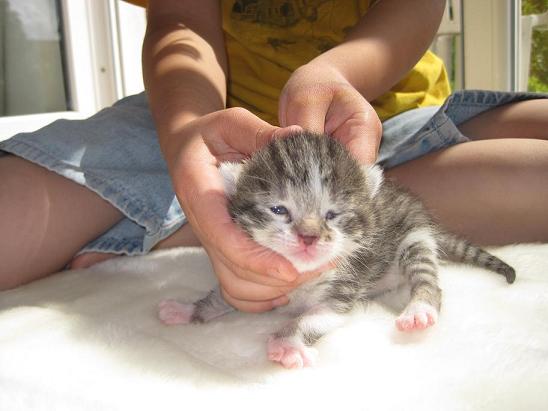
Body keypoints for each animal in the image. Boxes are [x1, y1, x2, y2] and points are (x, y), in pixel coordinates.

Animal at [157, 131, 512, 370]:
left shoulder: (342, 291)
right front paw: (189, 309)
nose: (309, 237)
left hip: (415, 239)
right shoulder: (251, 286)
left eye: (332, 214)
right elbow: (225, 297)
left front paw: (287, 343)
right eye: (279, 210)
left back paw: (419, 310)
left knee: (427, 279)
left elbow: (312, 318)